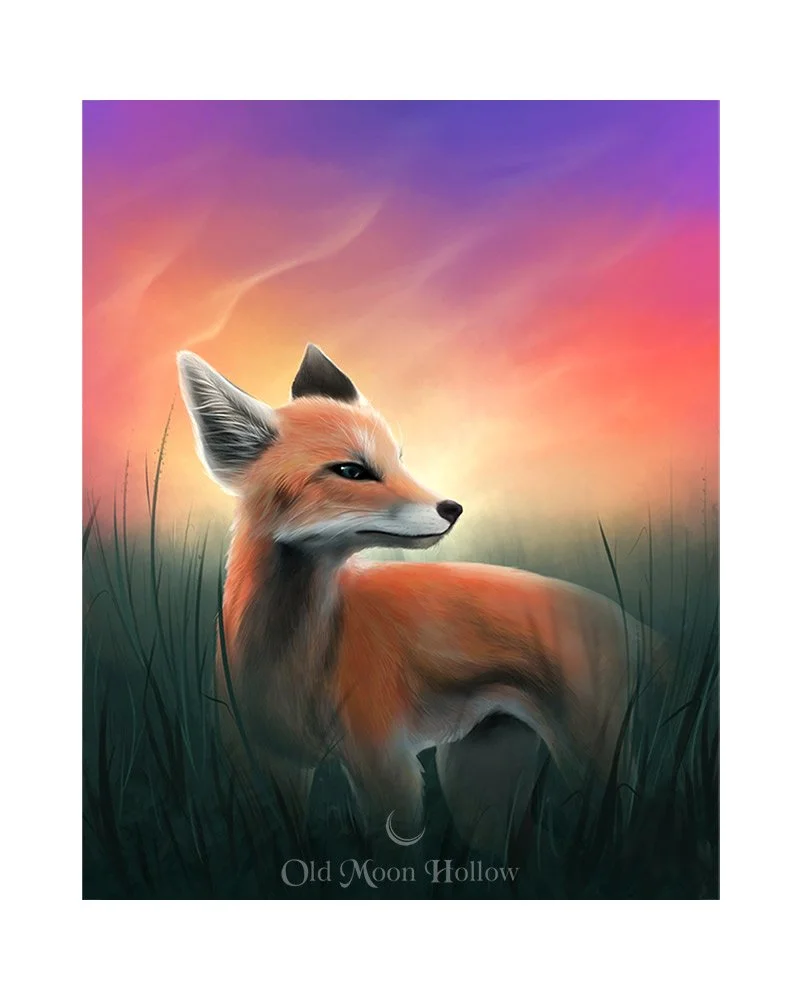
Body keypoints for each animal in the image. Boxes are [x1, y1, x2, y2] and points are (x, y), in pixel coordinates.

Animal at [177, 344, 658, 850]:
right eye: (352, 470)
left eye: (399, 459)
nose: (453, 508)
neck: (294, 660)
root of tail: (625, 618)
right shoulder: (263, 766)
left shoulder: (385, 764)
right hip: (478, 785)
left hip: (591, 766)